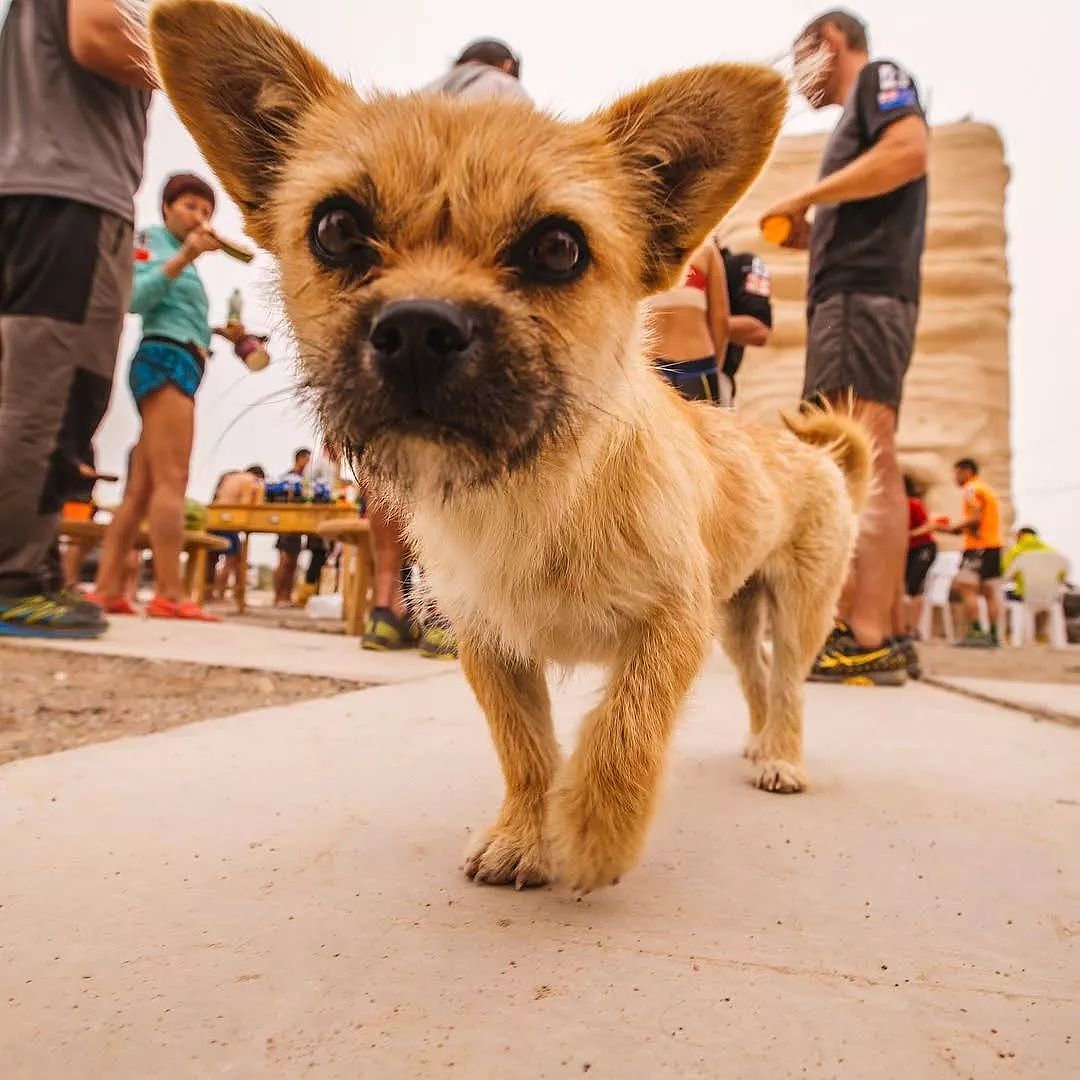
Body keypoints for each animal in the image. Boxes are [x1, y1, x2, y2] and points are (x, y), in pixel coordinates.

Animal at [147, 0, 872, 894]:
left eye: (558, 248)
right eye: (337, 229)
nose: (417, 329)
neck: (533, 485)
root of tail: (823, 461)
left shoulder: (672, 623)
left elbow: (626, 727)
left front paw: (595, 830)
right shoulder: (490, 643)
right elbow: (524, 746)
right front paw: (527, 834)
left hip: (798, 610)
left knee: (792, 683)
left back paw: (782, 757)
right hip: (737, 622)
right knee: (760, 680)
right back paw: (761, 741)